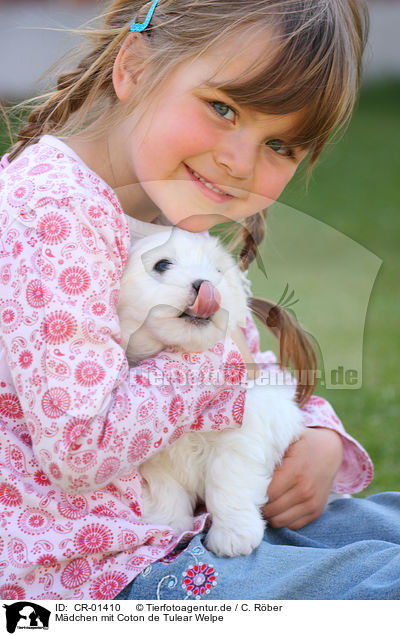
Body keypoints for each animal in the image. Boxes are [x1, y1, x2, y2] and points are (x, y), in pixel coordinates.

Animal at [117, 230, 304, 556]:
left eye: (217, 270)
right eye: (162, 265)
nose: (206, 285)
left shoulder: (241, 437)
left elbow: (227, 482)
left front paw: (233, 535)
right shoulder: (149, 456)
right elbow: (166, 490)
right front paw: (172, 526)